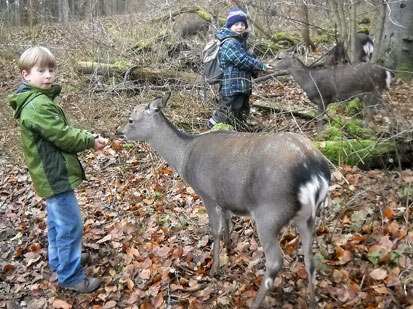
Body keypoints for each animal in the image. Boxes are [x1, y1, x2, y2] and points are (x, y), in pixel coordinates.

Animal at [114, 92, 330, 306]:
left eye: (130, 119)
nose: (118, 131)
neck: (184, 157)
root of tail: (314, 172)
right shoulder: (224, 196)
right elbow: (227, 219)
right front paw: (229, 247)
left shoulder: (206, 193)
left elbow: (215, 230)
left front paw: (215, 267)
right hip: (307, 216)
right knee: (310, 259)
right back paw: (313, 302)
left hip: (270, 213)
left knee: (275, 261)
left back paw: (255, 303)